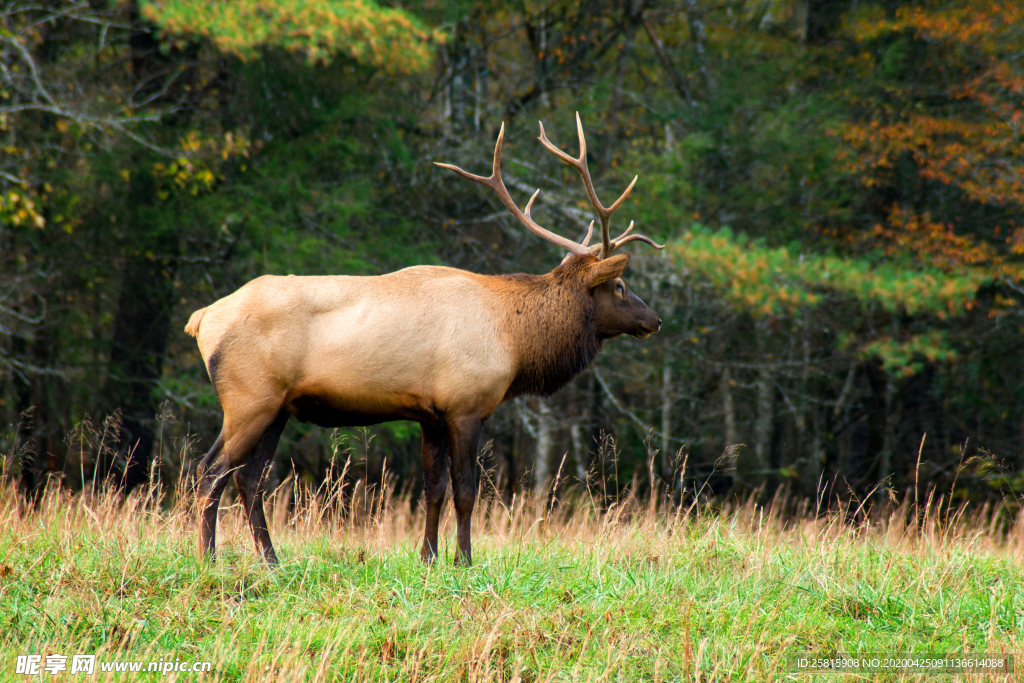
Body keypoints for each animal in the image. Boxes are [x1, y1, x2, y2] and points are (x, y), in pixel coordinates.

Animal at [186, 114, 663, 569]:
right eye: (620, 286)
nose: (654, 320)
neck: (515, 341)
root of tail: (202, 318)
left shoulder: (430, 414)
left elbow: (433, 490)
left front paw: (428, 557)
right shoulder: (466, 405)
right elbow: (466, 490)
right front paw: (464, 560)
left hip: (278, 407)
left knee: (248, 478)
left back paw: (270, 560)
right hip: (249, 399)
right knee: (210, 471)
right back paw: (209, 559)